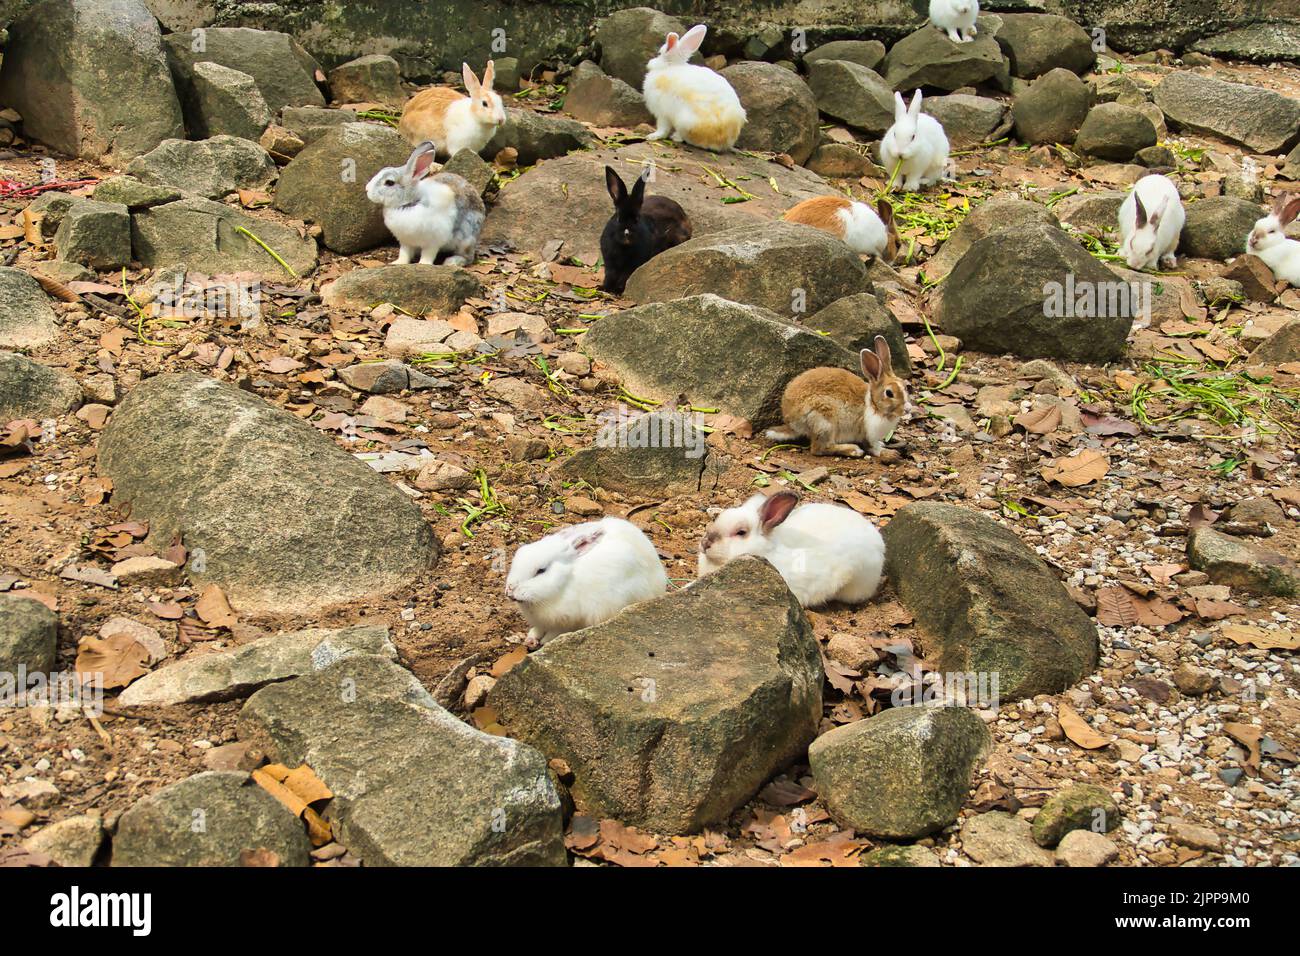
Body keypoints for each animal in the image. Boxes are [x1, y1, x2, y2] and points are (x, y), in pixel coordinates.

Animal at [504, 515, 665, 642]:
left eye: (541, 571)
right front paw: (530, 639)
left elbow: (555, 633)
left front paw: (543, 642)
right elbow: (537, 629)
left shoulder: (571, 621)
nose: (510, 590)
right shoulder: (542, 622)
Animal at [600, 167, 691, 295]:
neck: (624, 248)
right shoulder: (610, 264)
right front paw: (604, 288)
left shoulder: (632, 266)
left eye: (637, 219)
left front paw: (617, 290)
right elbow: (609, 276)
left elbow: (624, 277)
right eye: (618, 217)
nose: (627, 233)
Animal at [642, 23, 748, 151]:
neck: (670, 66)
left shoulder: (662, 113)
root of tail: (723, 141)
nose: (650, 62)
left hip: (684, 122)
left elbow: (663, 128)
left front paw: (652, 136)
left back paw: (676, 136)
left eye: (659, 54)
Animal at [759, 335, 904, 457]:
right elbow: (870, 445)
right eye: (889, 393)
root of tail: (791, 422)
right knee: (819, 449)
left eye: (905, 386)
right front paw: (882, 451)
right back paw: (853, 450)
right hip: (824, 421)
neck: (873, 404)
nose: (905, 410)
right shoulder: (867, 432)